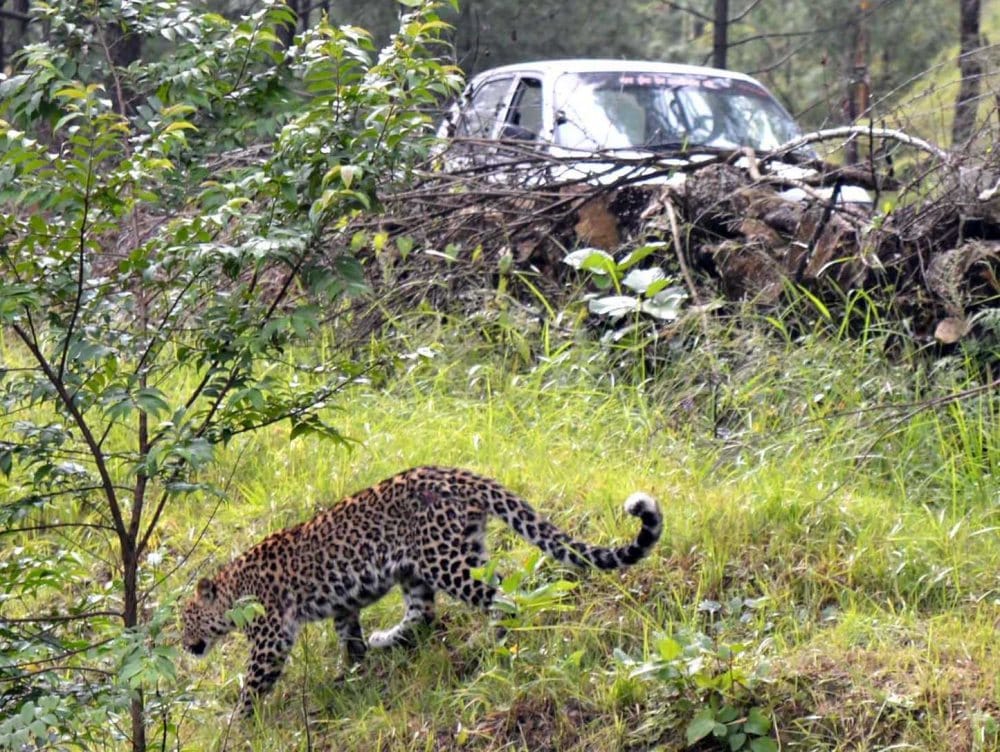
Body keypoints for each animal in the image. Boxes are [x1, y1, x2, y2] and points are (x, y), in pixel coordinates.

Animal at [181, 465, 662, 716]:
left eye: (187, 621)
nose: (186, 646)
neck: (233, 587)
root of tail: (462, 474)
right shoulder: (343, 608)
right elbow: (350, 639)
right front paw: (353, 671)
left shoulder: (271, 636)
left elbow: (252, 682)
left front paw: (234, 723)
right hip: (425, 567)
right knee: (425, 616)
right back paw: (387, 639)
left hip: (444, 560)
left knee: (499, 598)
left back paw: (496, 645)